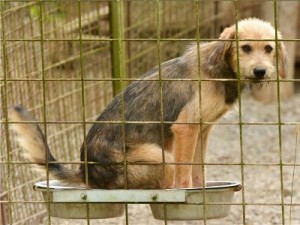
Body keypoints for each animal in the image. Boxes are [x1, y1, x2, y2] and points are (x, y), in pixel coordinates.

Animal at [8, 18, 286, 190]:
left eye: (269, 49)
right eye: (245, 48)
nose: (260, 71)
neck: (219, 69)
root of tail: (87, 171)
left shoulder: (202, 129)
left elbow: (198, 172)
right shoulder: (186, 128)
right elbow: (184, 178)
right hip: (162, 158)